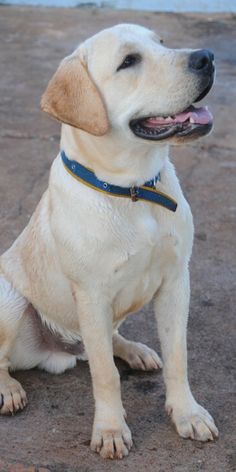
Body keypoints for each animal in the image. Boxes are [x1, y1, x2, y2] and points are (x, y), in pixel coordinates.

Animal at [0, 24, 218, 460]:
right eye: (128, 61)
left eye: (162, 43)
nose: (206, 57)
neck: (132, 190)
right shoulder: (91, 294)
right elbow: (105, 375)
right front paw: (111, 430)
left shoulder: (176, 282)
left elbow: (178, 357)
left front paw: (187, 413)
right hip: (9, 298)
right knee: (8, 361)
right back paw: (9, 389)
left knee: (104, 342)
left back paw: (133, 349)